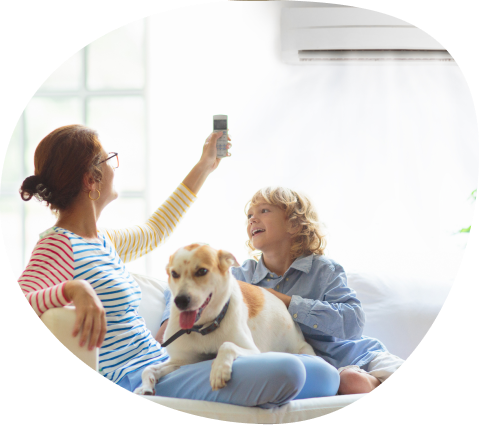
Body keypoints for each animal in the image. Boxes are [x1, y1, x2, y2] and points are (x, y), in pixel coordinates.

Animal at [133, 243, 316, 396]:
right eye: (174, 274)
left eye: (202, 271)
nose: (180, 301)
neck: (203, 328)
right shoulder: (185, 361)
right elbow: (148, 368)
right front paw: (146, 386)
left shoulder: (252, 350)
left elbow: (227, 345)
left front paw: (219, 370)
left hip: (304, 350)